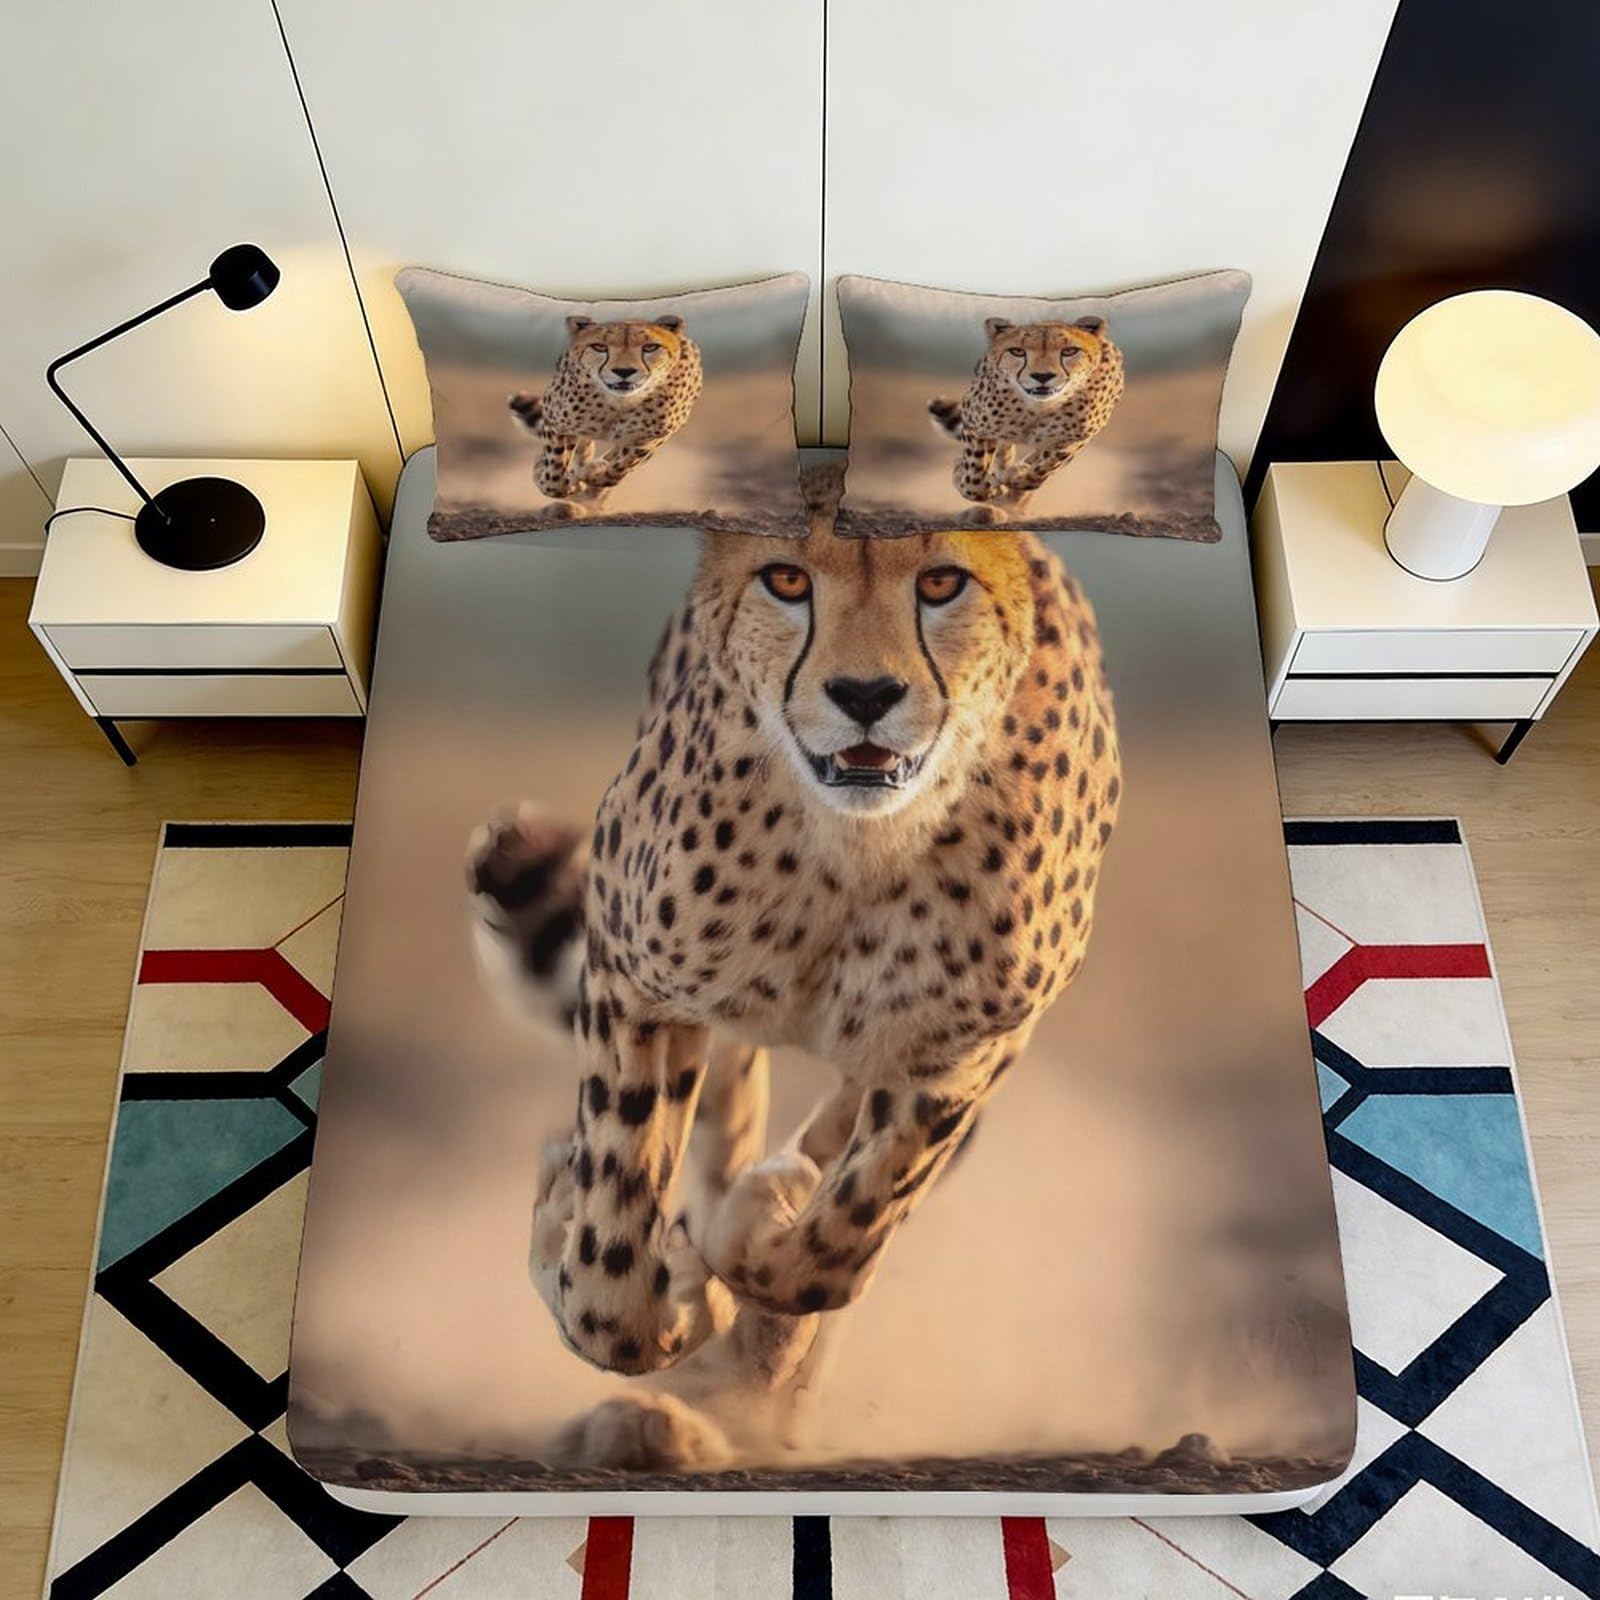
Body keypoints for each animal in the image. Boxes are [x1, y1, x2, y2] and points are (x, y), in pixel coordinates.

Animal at [467, 492, 1122, 1469]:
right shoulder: (636, 971)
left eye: (941, 583)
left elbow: (836, 1245)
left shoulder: (966, 1052)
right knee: (716, 1131)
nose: (865, 696)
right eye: (786, 579)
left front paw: (758, 1238)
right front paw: (651, 1281)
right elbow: (612, 1248)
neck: (858, 844)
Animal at [509, 313, 703, 513]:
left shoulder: (651, 437)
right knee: (581, 449)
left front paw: (593, 474)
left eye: (650, 347)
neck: (618, 402)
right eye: (599, 347)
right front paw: (566, 481)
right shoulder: (557, 420)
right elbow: (554, 474)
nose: (624, 371)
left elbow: (622, 465)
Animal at [929, 315, 1125, 520]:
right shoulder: (976, 423)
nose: (1042, 376)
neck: (1038, 406)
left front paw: (1017, 476)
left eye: (1069, 351)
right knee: (1002, 453)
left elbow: (1046, 466)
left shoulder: (1074, 439)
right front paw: (985, 486)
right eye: (1017, 352)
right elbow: (974, 475)